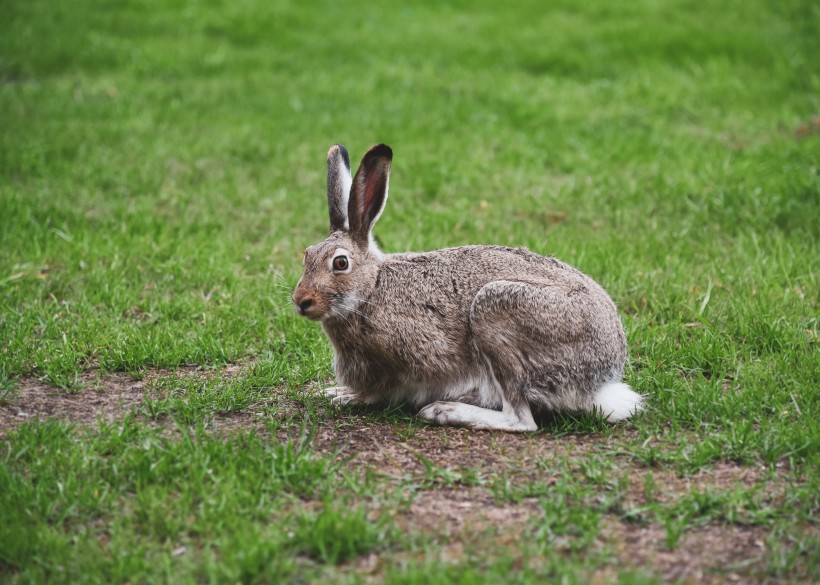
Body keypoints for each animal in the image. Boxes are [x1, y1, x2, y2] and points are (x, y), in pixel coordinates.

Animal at [292, 144, 644, 432]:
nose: (301, 301)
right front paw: (336, 391)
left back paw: (445, 411)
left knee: (521, 418)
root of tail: (603, 376)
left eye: (340, 263)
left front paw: (347, 397)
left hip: (495, 311)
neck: (371, 288)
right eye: (306, 255)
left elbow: (382, 390)